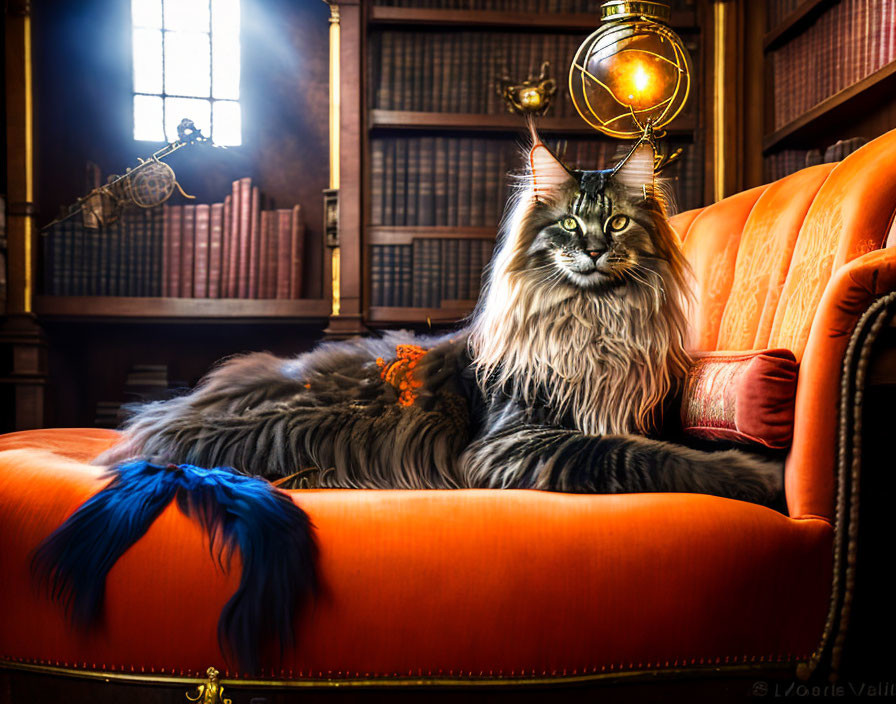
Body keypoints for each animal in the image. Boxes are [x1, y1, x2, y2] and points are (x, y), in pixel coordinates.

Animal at [98, 126, 780, 500]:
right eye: (568, 224)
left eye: (615, 223)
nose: (591, 248)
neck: (592, 323)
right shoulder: (514, 440)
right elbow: (643, 457)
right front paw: (760, 477)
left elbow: (655, 446)